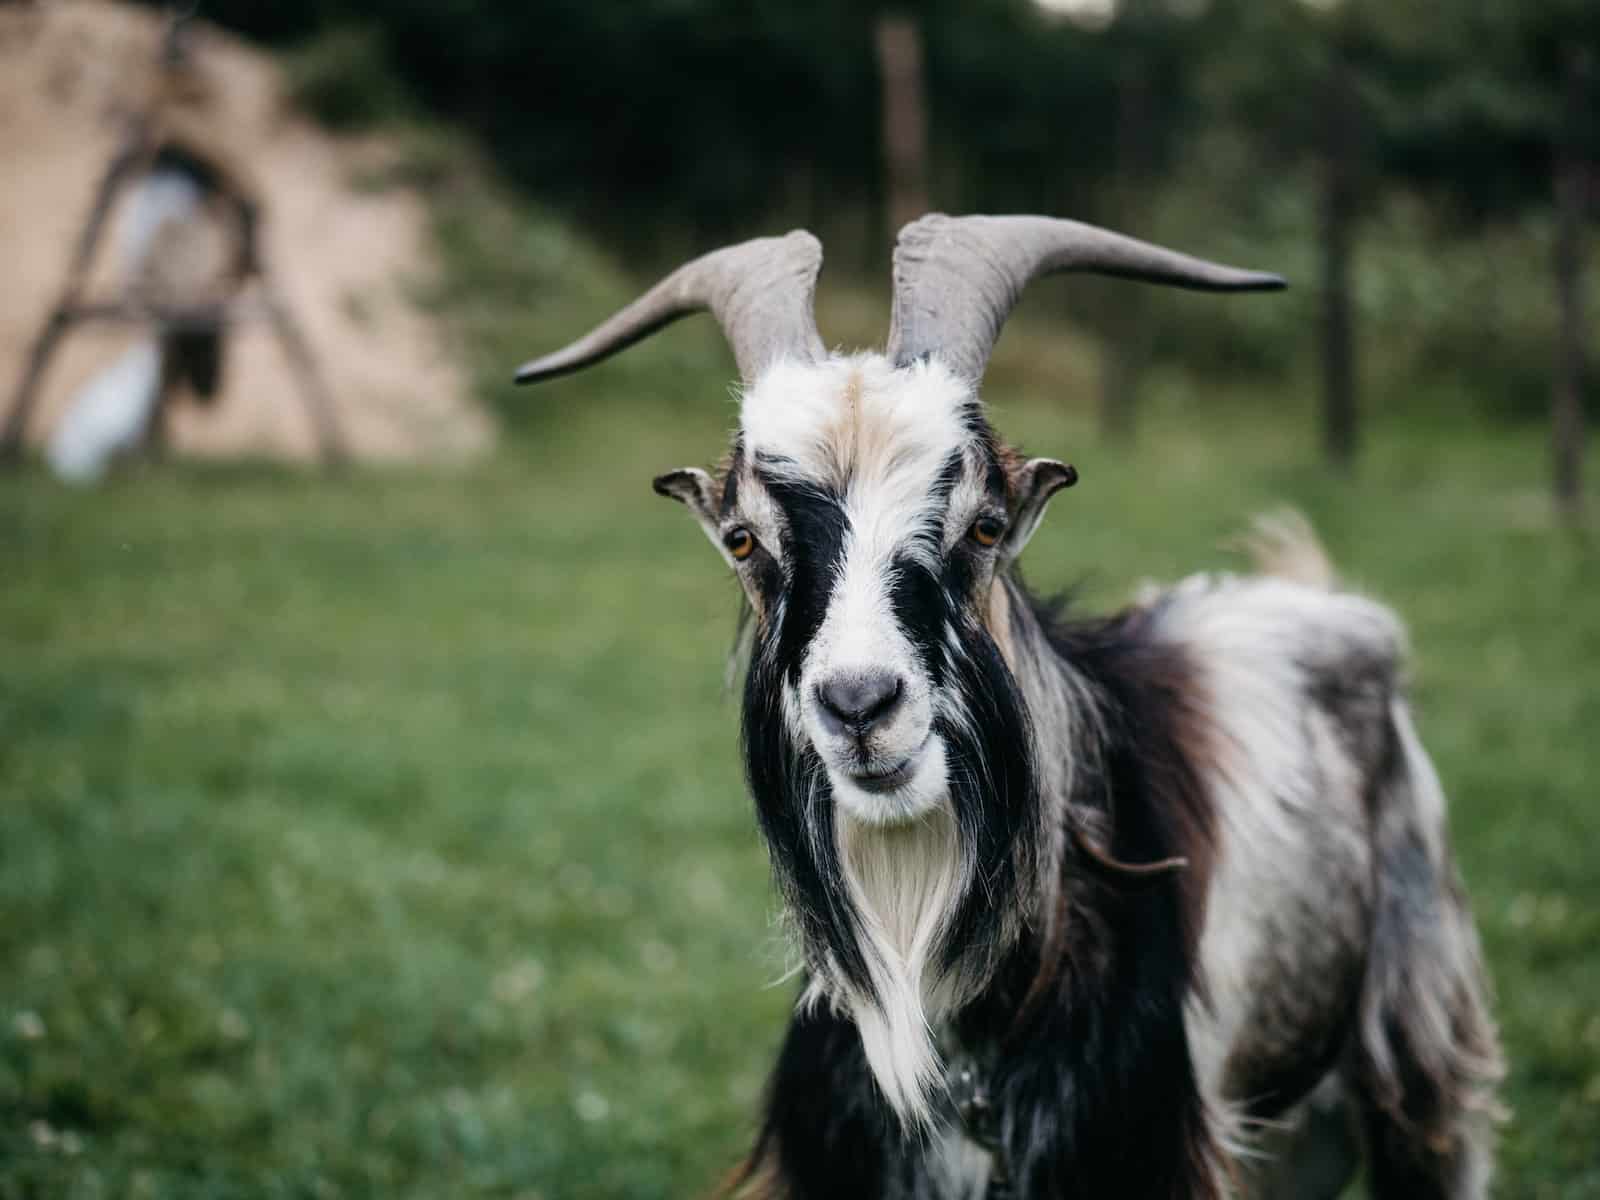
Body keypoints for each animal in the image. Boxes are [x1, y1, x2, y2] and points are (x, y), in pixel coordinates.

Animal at [514, 215, 1503, 1199]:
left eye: (984, 525)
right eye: (744, 540)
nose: (860, 705)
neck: (967, 1049)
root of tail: (1318, 595)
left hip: (1425, 1061)